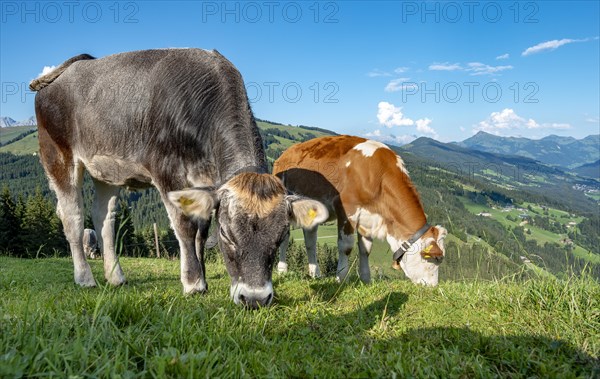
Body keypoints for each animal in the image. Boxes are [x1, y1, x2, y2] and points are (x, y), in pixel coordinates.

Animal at [30, 48, 326, 308]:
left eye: (281, 236)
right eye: (226, 234)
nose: (254, 299)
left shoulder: (206, 184)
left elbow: (200, 233)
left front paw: (203, 280)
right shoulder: (167, 171)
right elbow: (185, 227)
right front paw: (193, 283)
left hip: (106, 169)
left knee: (104, 218)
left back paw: (115, 277)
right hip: (58, 156)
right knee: (73, 218)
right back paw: (85, 278)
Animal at [274, 135, 448, 286]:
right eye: (435, 259)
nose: (433, 287)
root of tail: (285, 154)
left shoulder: (368, 218)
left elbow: (365, 250)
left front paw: (366, 280)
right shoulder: (346, 208)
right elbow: (346, 247)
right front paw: (341, 279)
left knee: (310, 240)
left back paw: (315, 274)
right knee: (285, 237)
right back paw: (282, 269)